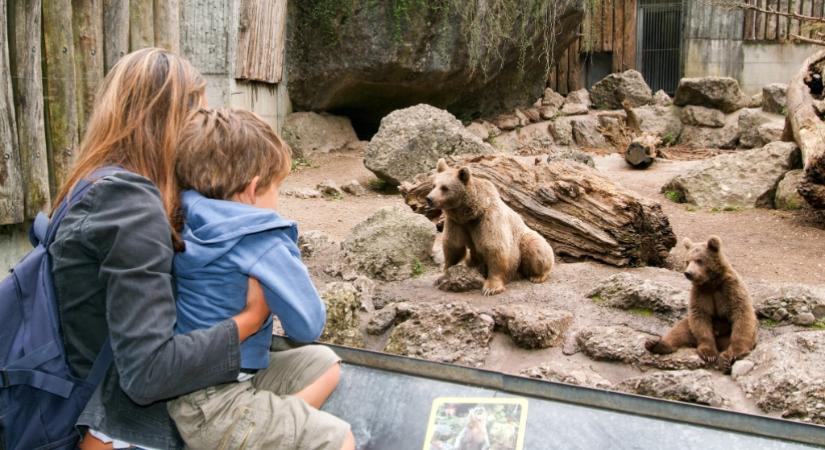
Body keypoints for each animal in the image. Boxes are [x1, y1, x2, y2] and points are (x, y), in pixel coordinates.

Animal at [424, 158, 552, 296]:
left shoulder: (488, 219)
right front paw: (442, 276)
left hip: (525, 239)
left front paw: (491, 288)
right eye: (433, 185)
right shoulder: (456, 223)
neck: (470, 213)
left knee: (535, 247)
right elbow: (453, 247)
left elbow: (494, 248)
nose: (429, 198)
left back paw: (538, 276)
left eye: (444, 187)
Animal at [648, 236, 756, 372]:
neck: (711, 283)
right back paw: (655, 344)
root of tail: (719, 342)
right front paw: (708, 354)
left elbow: (741, 313)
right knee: (681, 328)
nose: (688, 273)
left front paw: (734, 353)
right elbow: (700, 316)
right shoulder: (700, 293)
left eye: (699, 260)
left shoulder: (730, 288)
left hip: (728, 336)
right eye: (687, 261)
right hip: (692, 328)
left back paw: (725, 359)